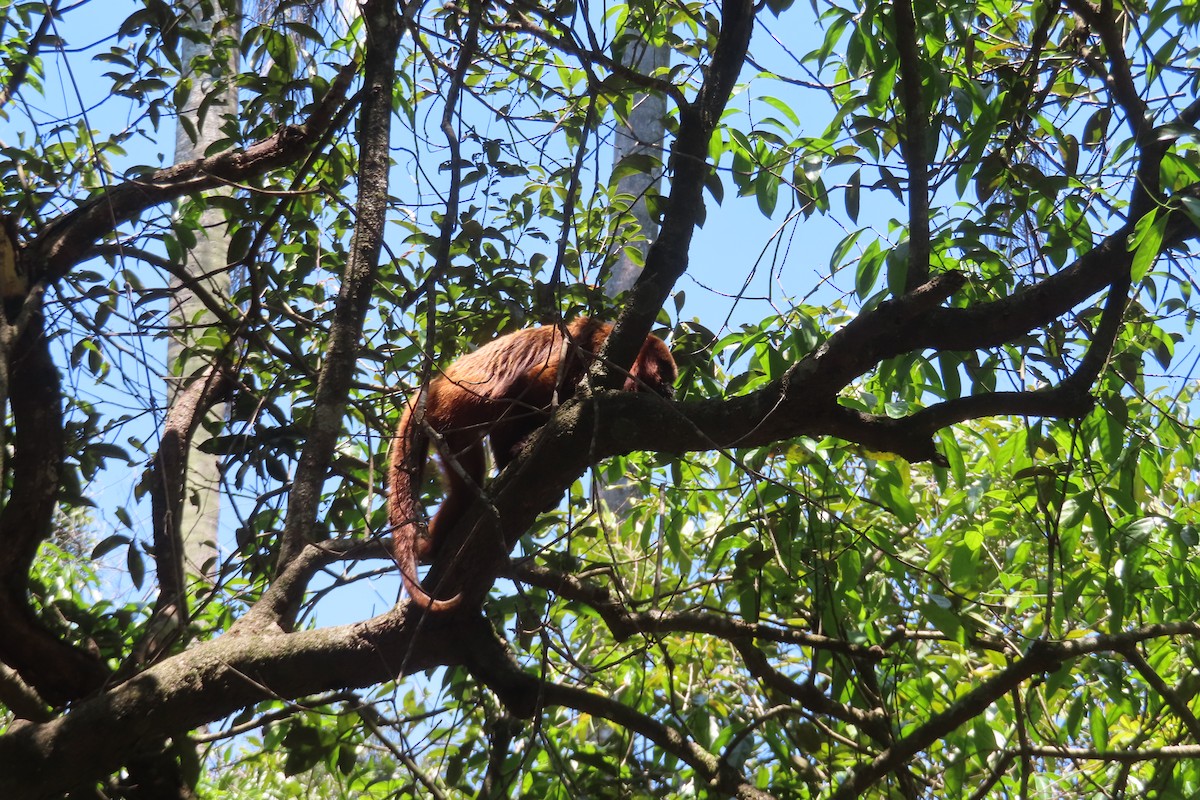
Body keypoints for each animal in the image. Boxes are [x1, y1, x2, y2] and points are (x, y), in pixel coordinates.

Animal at [388, 317, 677, 611]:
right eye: (664, 372)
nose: (672, 389)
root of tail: (435, 385)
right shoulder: (589, 352)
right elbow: (529, 384)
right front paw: (517, 449)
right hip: (451, 411)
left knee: (464, 491)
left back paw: (434, 547)